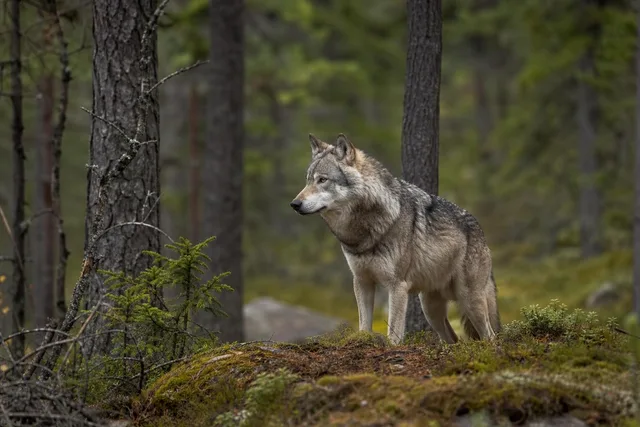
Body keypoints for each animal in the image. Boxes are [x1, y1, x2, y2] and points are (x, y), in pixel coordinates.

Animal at [290, 133, 501, 345]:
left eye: (322, 180)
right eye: (308, 181)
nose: (294, 204)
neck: (365, 231)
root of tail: (479, 229)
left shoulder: (397, 286)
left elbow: (394, 333)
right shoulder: (362, 281)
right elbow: (363, 325)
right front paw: (362, 341)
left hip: (469, 299)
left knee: (490, 335)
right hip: (430, 308)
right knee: (453, 338)